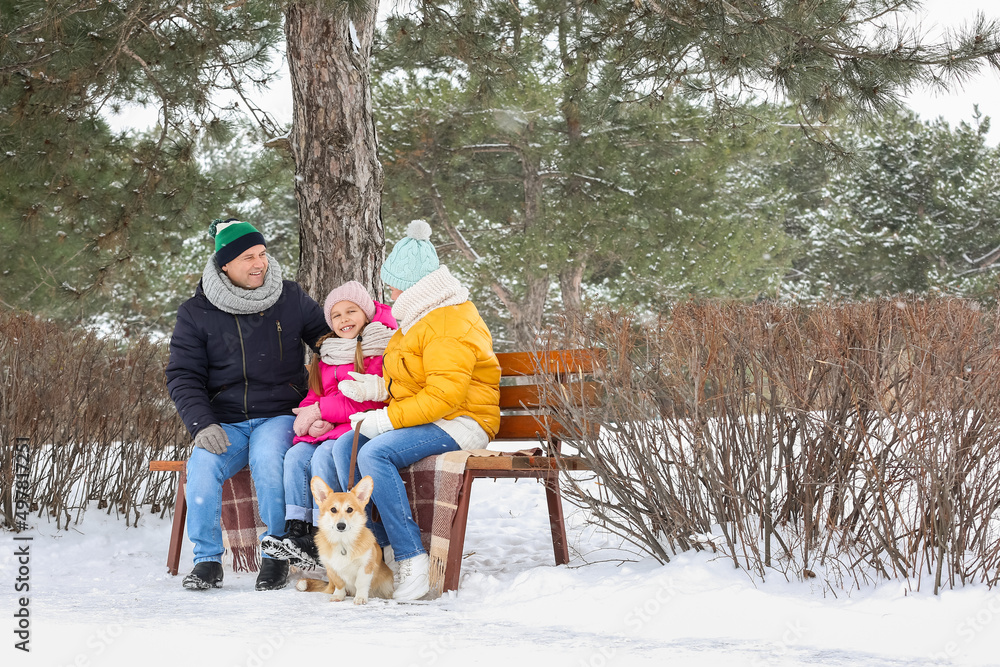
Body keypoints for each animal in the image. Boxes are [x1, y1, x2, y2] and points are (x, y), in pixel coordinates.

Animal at [292, 474, 394, 604]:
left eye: (349, 509)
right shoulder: (332, 568)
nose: (341, 526)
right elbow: (339, 584)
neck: (342, 541)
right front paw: (338, 596)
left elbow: (360, 584)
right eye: (333, 509)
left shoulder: (365, 566)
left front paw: (360, 598)